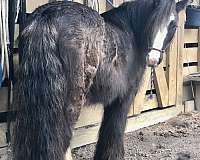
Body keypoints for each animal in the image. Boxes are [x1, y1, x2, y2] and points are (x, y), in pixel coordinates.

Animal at [13, 0, 188, 160]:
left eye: (173, 26)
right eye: (153, 21)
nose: (152, 59)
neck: (130, 33)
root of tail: (47, 17)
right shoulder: (125, 96)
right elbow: (115, 129)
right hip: (72, 103)